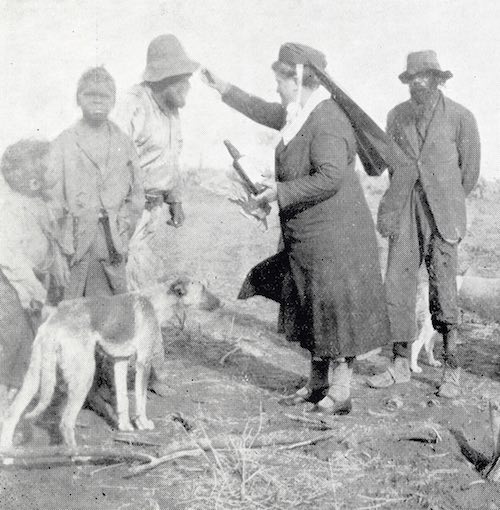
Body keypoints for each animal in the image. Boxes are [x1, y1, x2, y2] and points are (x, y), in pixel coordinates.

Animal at [0, 276, 220, 448]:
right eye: (202, 288)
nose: (221, 303)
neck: (154, 302)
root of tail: (55, 321)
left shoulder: (119, 362)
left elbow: (122, 399)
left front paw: (124, 426)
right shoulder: (143, 363)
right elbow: (140, 400)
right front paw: (143, 424)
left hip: (33, 379)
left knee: (11, 414)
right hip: (84, 376)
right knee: (65, 422)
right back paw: (77, 455)